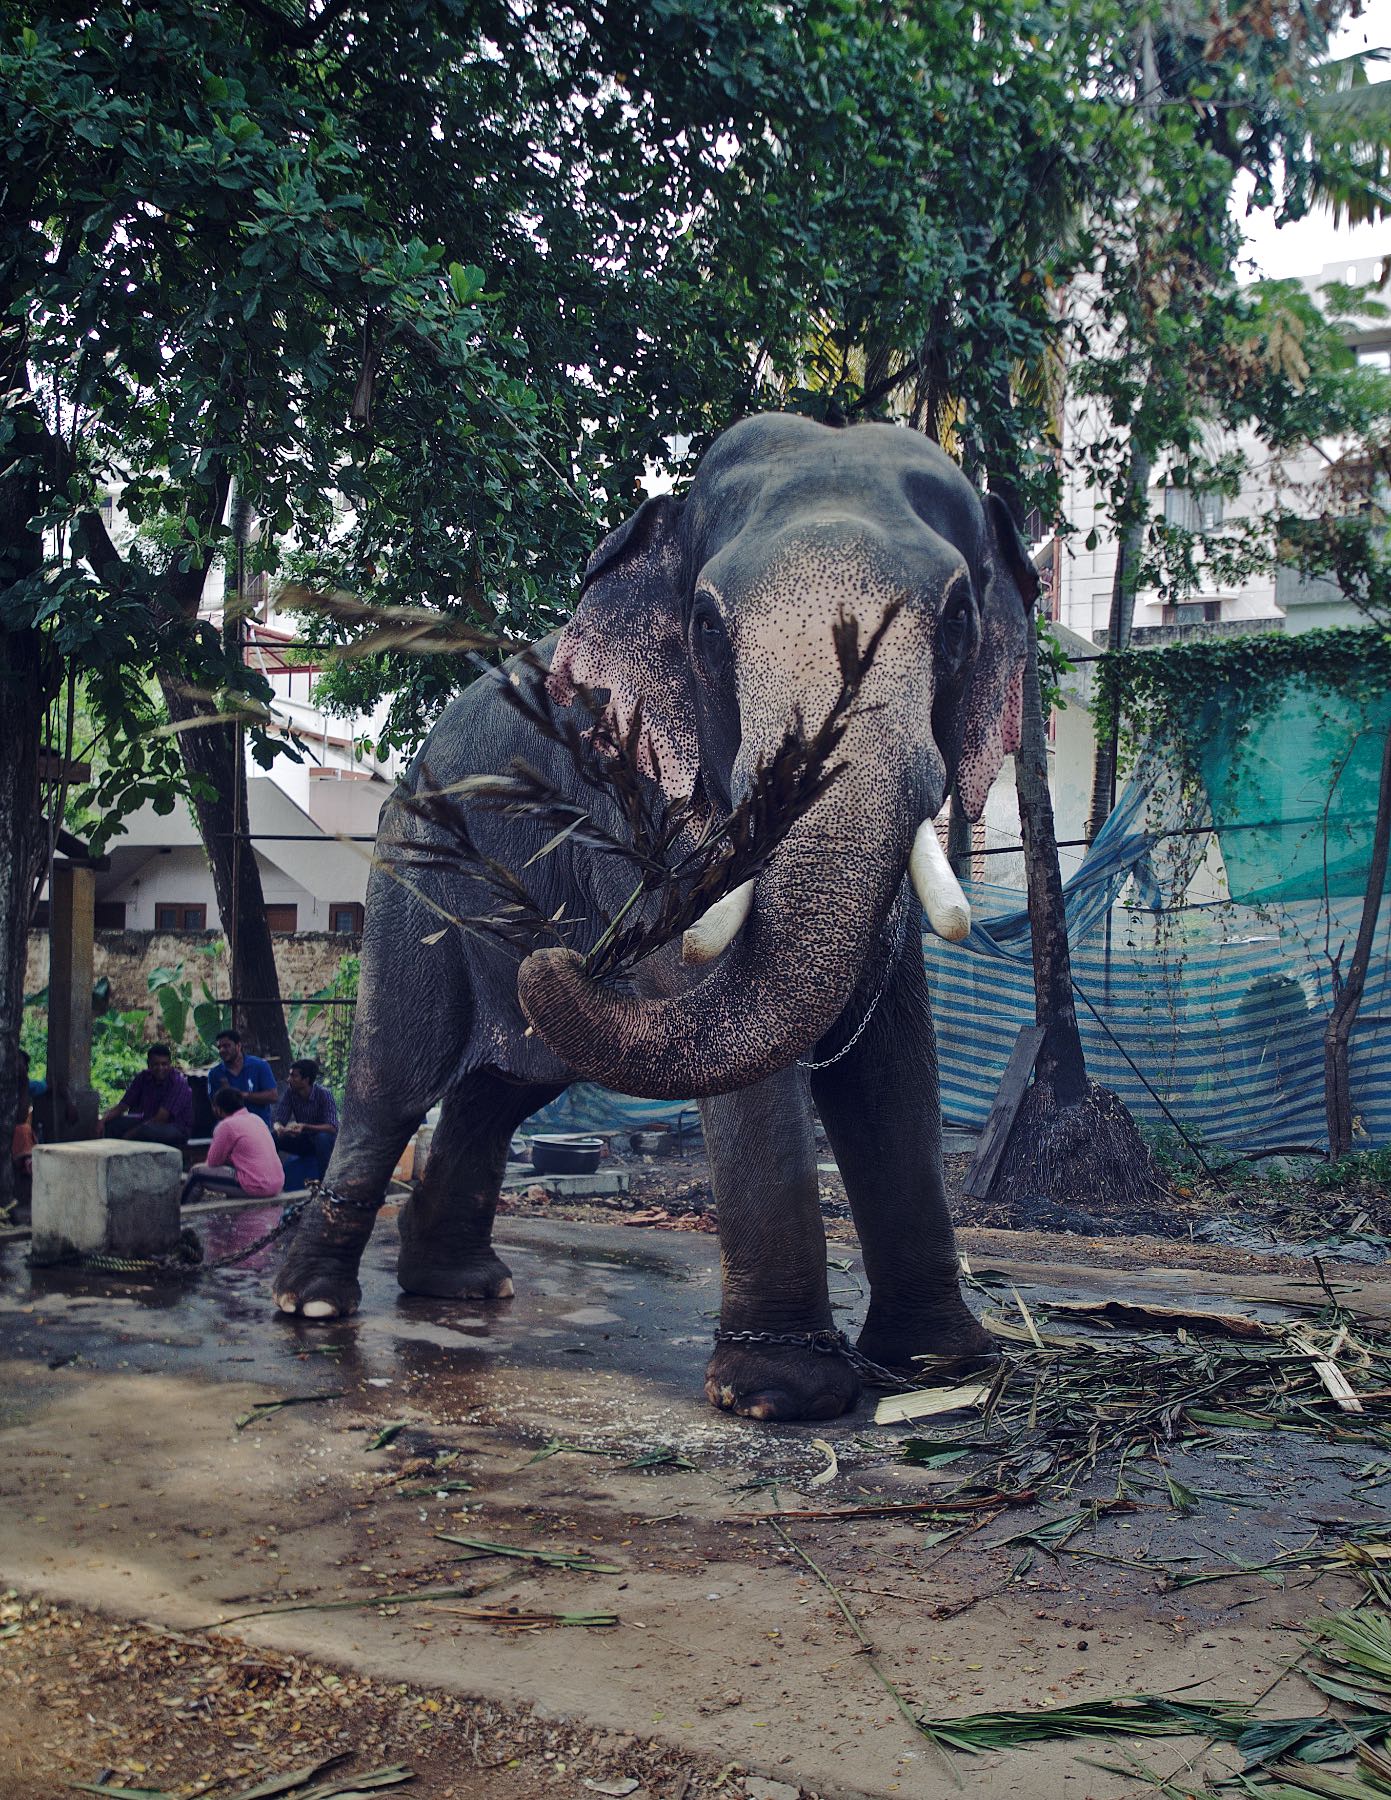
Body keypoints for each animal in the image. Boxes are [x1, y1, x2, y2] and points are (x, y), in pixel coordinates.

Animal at [271, 414, 1029, 1425]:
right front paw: (778, 1399)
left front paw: (945, 1368)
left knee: (501, 1087)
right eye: (705, 628)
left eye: (955, 620)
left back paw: (463, 1288)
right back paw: (314, 1304)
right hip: (410, 875)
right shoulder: (640, 795)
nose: (565, 956)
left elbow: (890, 1055)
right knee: (394, 1082)